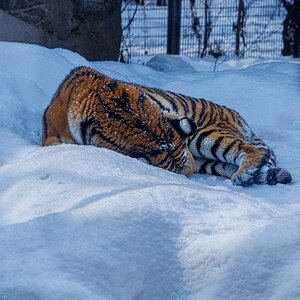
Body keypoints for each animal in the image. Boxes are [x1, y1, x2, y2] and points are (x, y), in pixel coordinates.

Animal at [42, 67, 290, 186]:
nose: (189, 175)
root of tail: (237, 116)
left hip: (203, 135)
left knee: (256, 151)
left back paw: (247, 173)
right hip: (205, 156)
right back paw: (261, 176)